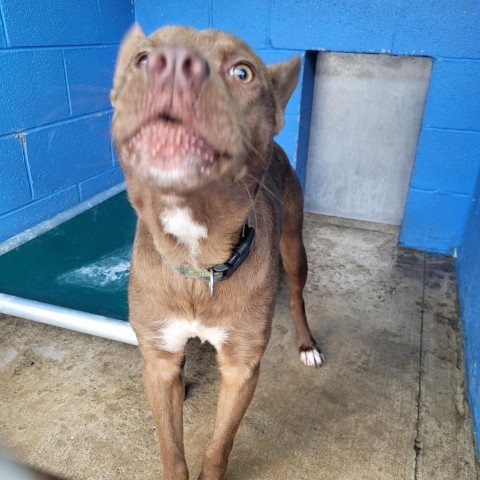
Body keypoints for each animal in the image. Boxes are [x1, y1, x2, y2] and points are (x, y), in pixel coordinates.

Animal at [110, 25, 324, 480]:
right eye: (142, 59)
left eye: (242, 72)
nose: (173, 65)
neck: (197, 257)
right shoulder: (159, 361)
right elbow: (172, 452)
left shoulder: (241, 367)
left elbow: (217, 449)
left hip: (294, 247)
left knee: (296, 297)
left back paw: (307, 344)